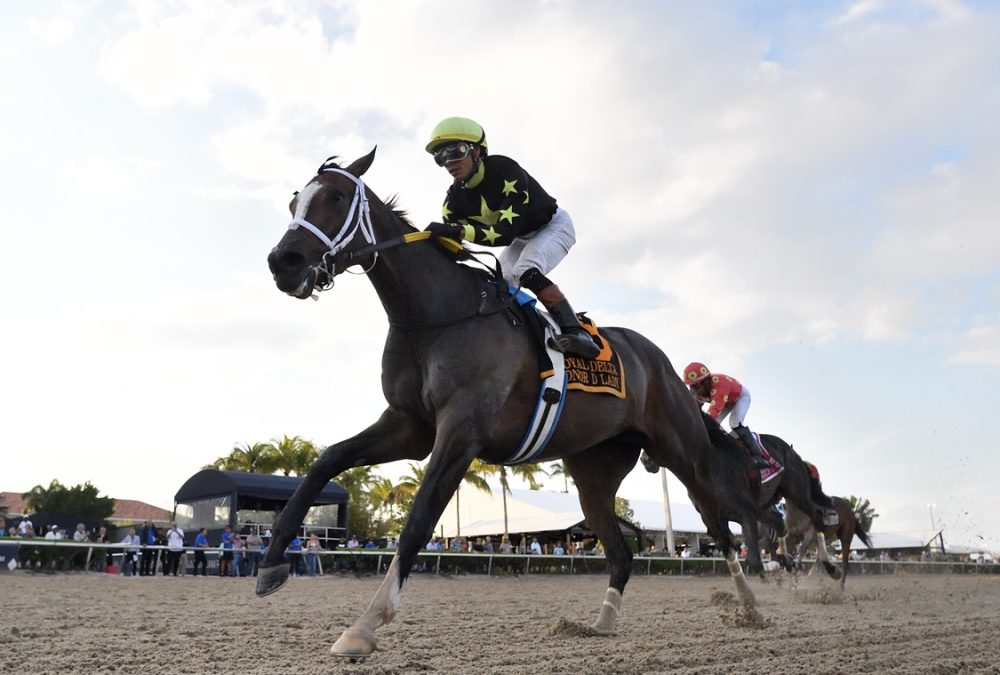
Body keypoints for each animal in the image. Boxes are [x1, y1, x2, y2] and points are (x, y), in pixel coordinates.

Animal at [260, 149, 764, 660]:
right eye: (294, 203)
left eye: (336, 197)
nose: (283, 262)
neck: (436, 316)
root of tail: (660, 361)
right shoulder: (410, 426)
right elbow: (327, 460)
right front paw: (271, 563)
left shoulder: (461, 430)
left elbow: (418, 519)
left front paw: (365, 625)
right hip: (594, 470)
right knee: (621, 553)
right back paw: (600, 623)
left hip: (682, 452)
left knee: (719, 525)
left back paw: (750, 607)